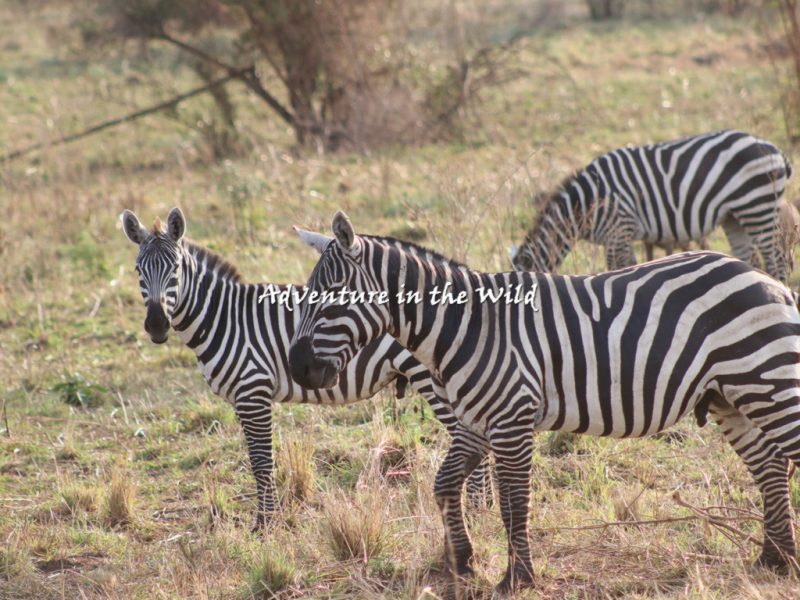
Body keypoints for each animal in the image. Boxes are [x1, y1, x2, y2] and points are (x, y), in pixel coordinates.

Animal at [121, 207, 490, 528]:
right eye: (138, 271)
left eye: (175, 270)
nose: (156, 325)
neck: (223, 319)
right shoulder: (242, 399)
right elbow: (257, 460)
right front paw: (267, 521)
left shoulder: (253, 392)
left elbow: (261, 463)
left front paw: (265, 525)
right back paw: (478, 507)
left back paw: (475, 509)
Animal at [290, 210, 800, 592]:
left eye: (331, 296)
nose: (297, 368)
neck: (465, 327)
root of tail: (766, 278)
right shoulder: (475, 422)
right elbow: (445, 485)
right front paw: (462, 561)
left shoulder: (511, 418)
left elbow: (513, 502)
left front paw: (517, 578)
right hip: (729, 397)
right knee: (769, 466)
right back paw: (774, 559)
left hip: (767, 383)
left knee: (780, 458)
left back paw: (782, 559)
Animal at [510, 129, 792, 282]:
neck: (585, 204)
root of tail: (775, 150)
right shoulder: (620, 237)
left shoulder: (618, 231)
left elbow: (616, 269)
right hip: (735, 217)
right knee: (749, 258)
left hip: (757, 207)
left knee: (776, 261)